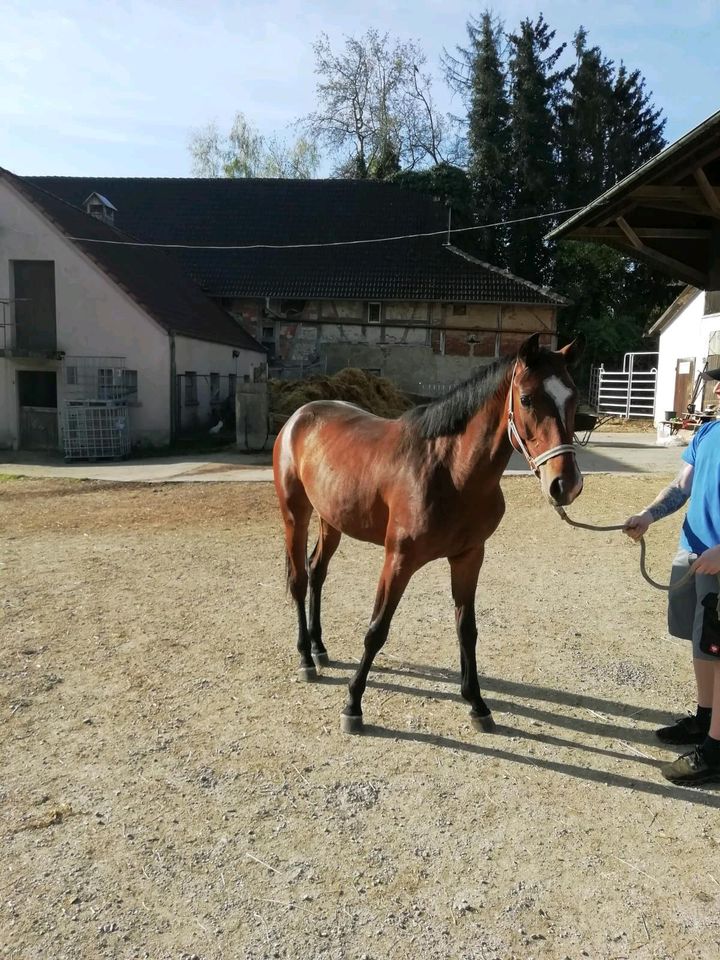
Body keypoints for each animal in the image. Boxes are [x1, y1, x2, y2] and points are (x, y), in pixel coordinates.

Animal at [272, 334, 584, 732]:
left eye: (572, 397)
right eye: (527, 398)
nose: (565, 485)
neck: (449, 471)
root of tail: (298, 417)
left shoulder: (469, 557)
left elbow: (467, 629)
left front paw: (477, 703)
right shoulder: (398, 559)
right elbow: (377, 629)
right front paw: (353, 704)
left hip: (332, 520)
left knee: (317, 571)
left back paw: (319, 647)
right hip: (295, 514)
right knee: (299, 578)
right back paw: (305, 658)